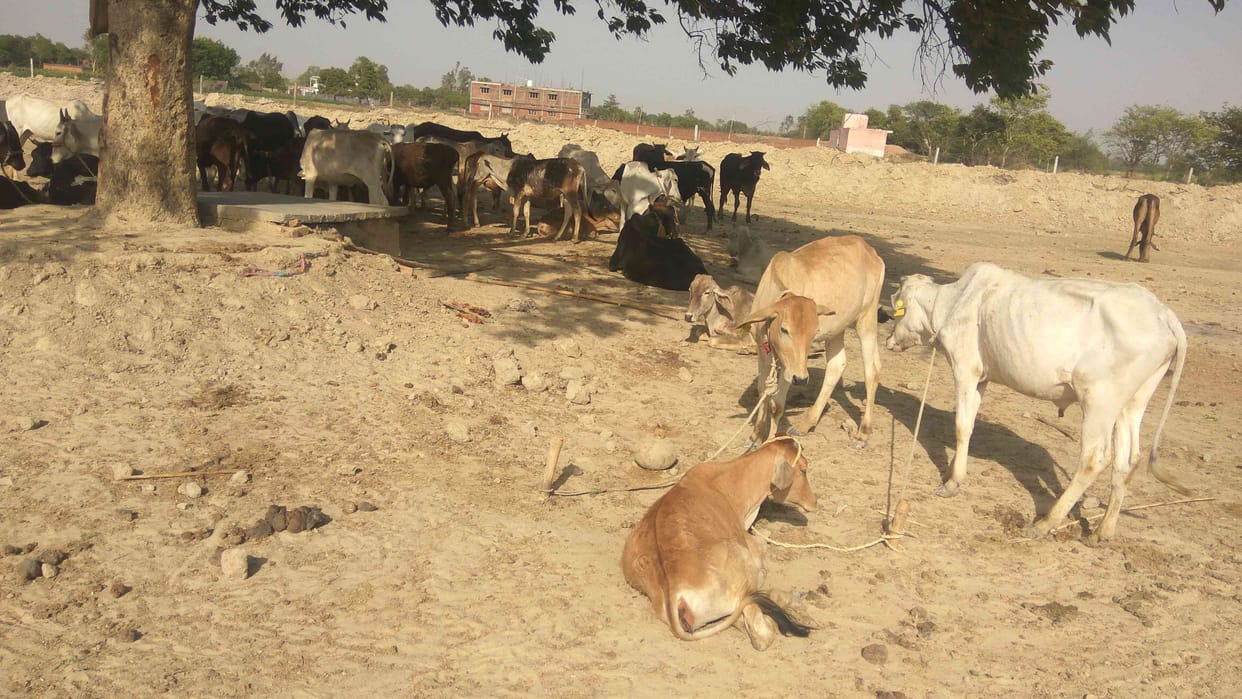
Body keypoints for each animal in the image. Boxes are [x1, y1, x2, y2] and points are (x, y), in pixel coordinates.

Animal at [738, 235, 884, 446]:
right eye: (784, 329)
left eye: (813, 333)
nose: (801, 379)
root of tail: (869, 250)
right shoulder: (762, 350)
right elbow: (762, 392)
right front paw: (755, 436)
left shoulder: (790, 367)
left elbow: (777, 405)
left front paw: (771, 440)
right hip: (838, 329)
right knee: (837, 365)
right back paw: (806, 424)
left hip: (867, 319)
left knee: (872, 370)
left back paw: (863, 432)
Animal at [884, 263, 1189, 543]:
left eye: (896, 305)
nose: (888, 340)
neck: (953, 302)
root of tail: (1163, 312)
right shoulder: (983, 378)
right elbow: (968, 425)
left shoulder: (965, 369)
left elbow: (961, 426)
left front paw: (952, 482)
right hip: (1132, 404)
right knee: (1128, 460)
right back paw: (1102, 531)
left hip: (1099, 402)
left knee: (1094, 459)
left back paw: (1046, 523)